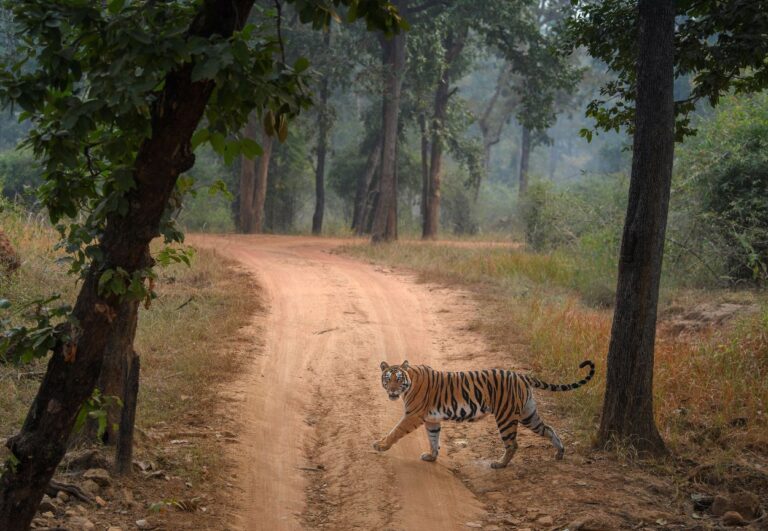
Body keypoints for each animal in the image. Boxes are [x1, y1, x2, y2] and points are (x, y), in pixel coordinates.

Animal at [373, 359, 595, 468]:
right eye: (387, 379)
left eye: (398, 379)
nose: (392, 391)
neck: (410, 381)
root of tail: (521, 376)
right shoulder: (431, 420)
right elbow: (434, 439)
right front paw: (431, 456)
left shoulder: (414, 415)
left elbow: (395, 431)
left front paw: (381, 445)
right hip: (528, 414)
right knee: (549, 429)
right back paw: (559, 452)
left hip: (506, 416)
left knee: (513, 444)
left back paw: (499, 464)